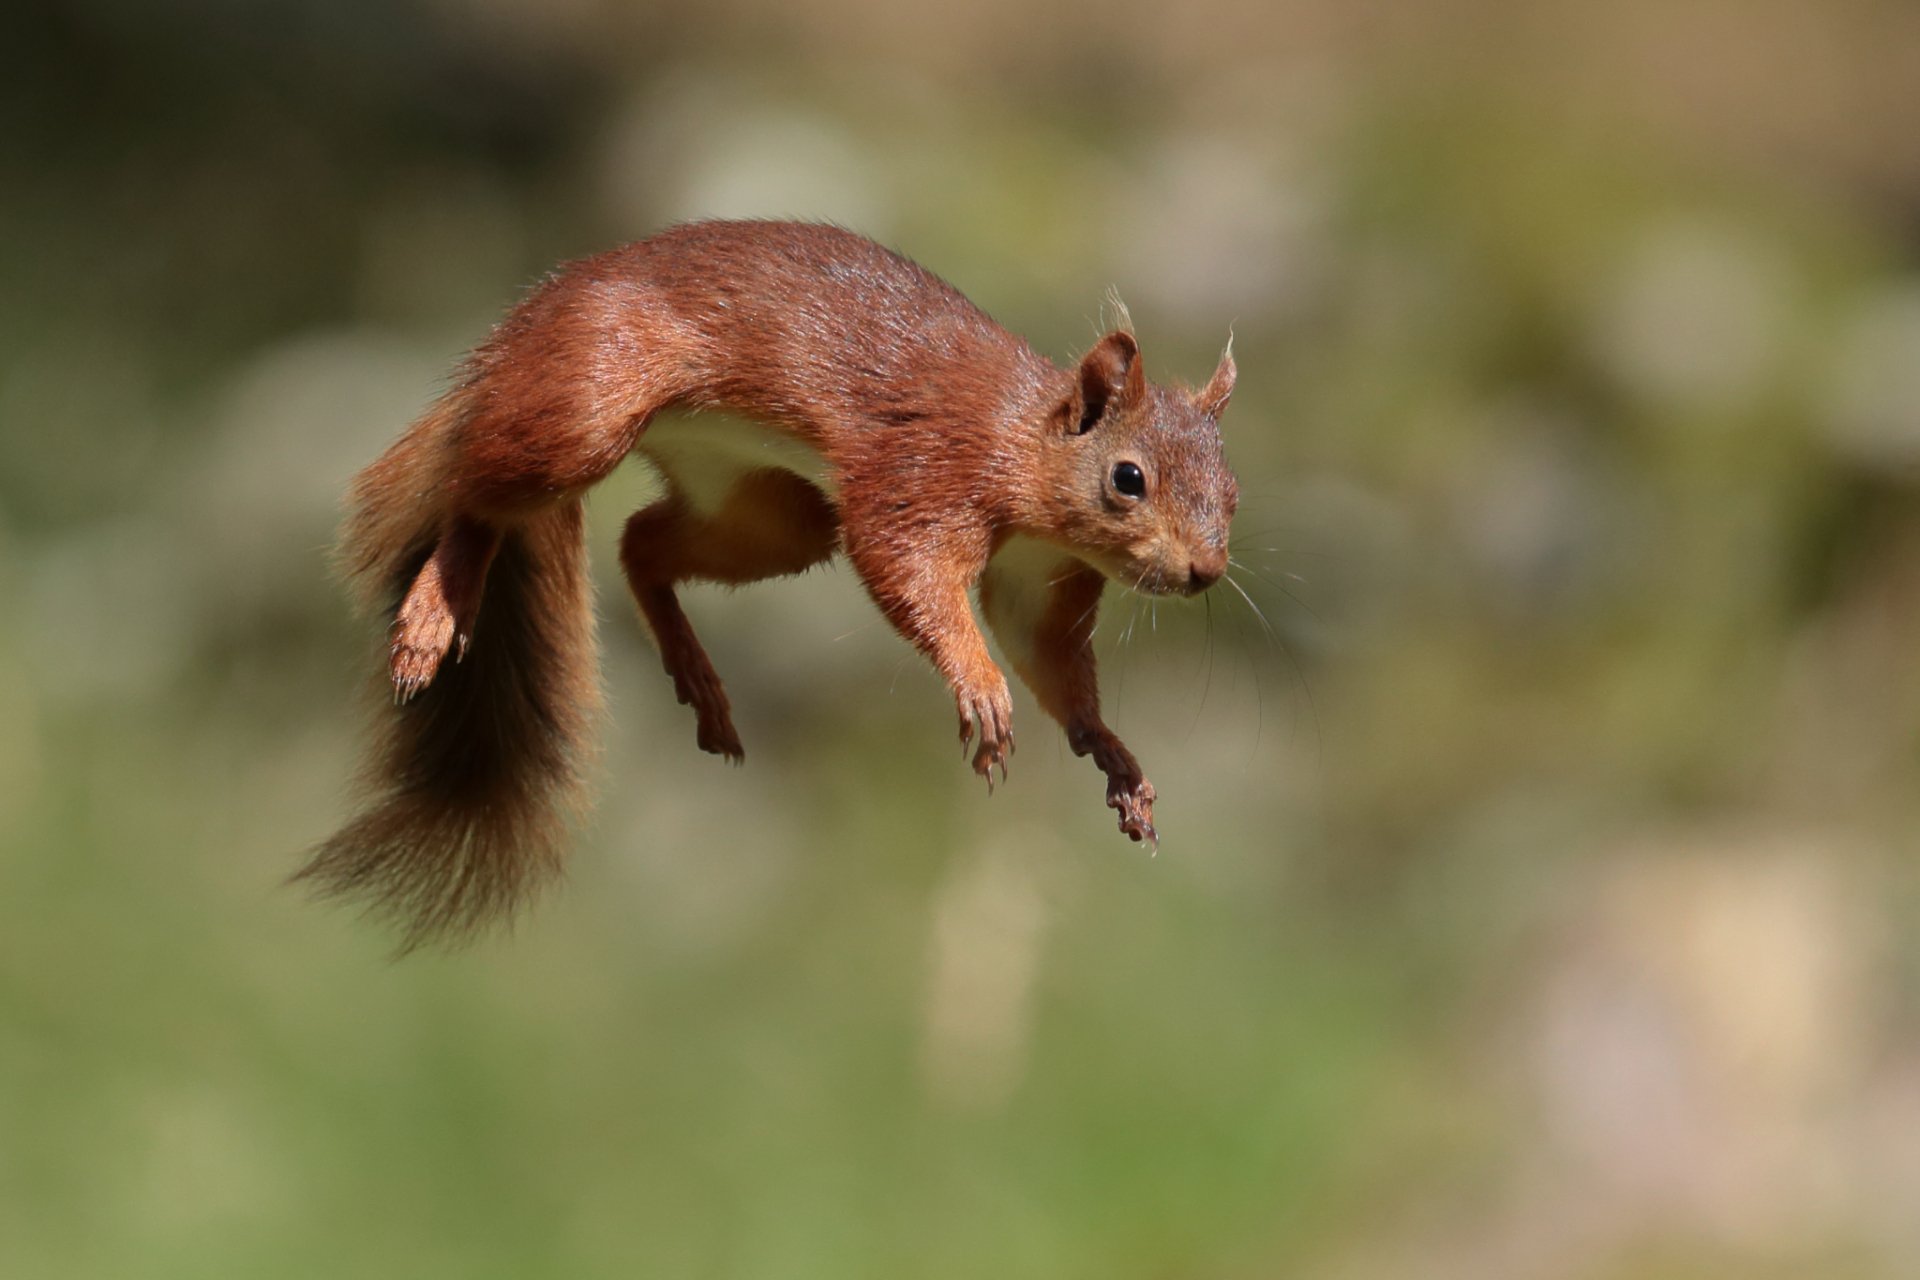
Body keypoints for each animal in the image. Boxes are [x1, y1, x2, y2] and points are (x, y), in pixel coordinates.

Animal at [300, 219, 1238, 948]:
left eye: (1232, 490)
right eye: (1127, 479)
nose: (1205, 573)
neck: (1024, 452)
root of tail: (521, 331)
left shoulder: (1037, 581)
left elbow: (1050, 662)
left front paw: (1114, 756)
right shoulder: (922, 477)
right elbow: (910, 571)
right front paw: (979, 686)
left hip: (768, 509)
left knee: (641, 545)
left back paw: (698, 677)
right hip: (589, 403)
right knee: (474, 492)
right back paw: (435, 608)